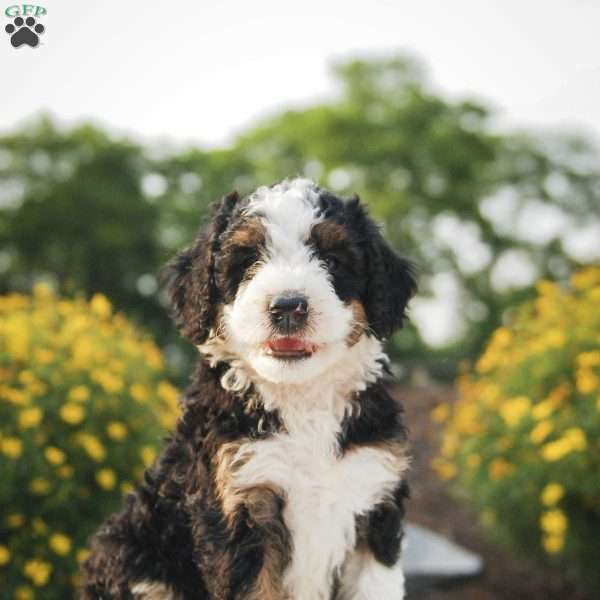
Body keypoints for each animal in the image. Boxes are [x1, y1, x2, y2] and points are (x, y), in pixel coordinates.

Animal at [79, 178, 418, 600]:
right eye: (246, 261)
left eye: (332, 260)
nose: (288, 306)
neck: (303, 399)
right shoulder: (240, 508)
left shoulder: (374, 500)